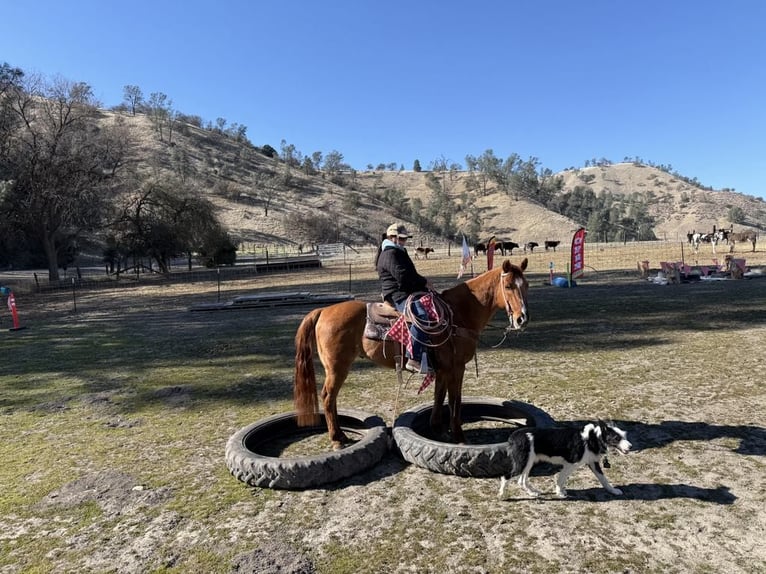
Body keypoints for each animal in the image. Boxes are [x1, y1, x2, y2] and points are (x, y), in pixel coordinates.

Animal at [293, 258, 530, 449]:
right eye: (508, 286)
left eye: (526, 285)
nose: (522, 319)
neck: (458, 314)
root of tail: (323, 311)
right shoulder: (457, 368)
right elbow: (455, 400)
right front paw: (459, 437)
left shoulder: (443, 369)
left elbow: (439, 396)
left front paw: (437, 429)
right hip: (337, 368)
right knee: (328, 397)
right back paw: (336, 438)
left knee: (330, 398)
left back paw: (340, 435)